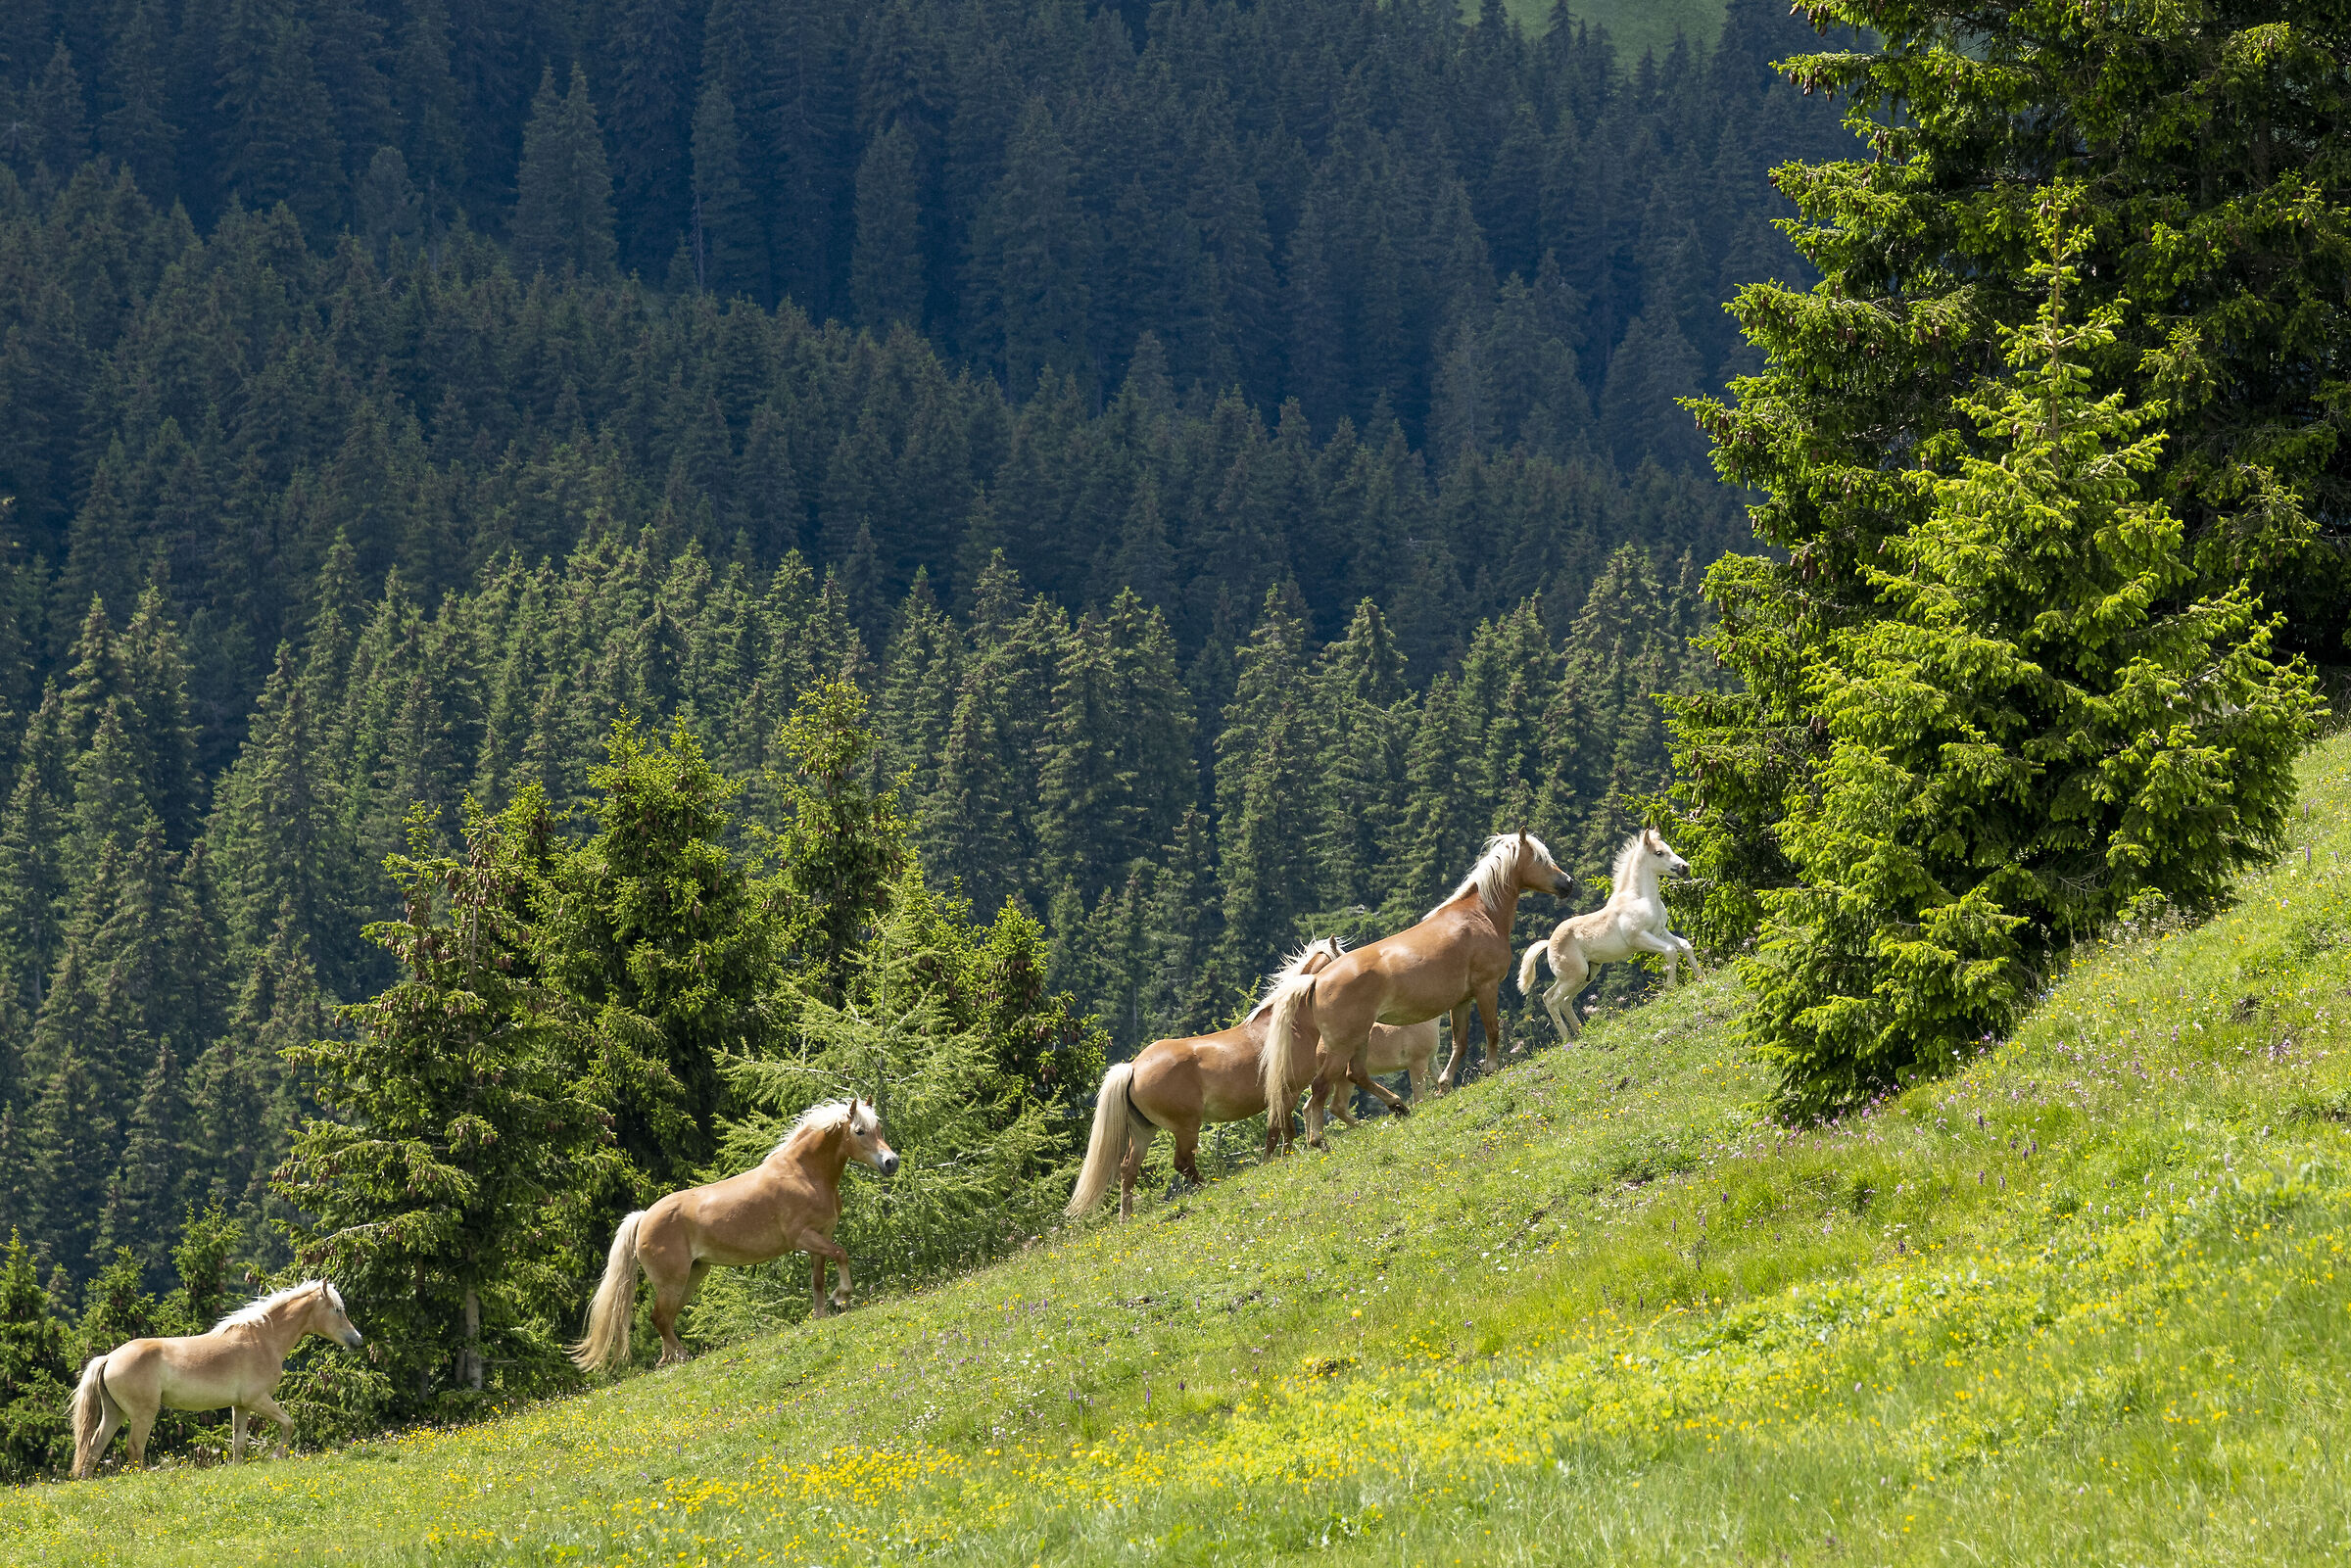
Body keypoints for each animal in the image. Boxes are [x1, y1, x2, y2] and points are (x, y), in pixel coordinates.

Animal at [70, 1280, 363, 1478]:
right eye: (337, 1310)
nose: (357, 1340)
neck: (263, 1339)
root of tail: (109, 1358)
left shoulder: (241, 1406)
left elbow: (239, 1442)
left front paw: (237, 1469)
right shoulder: (258, 1400)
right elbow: (289, 1424)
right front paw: (276, 1455)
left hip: (115, 1413)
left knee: (94, 1446)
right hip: (143, 1414)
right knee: (134, 1448)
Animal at [572, 1098, 899, 1372]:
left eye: (879, 1127)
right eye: (859, 1131)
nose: (891, 1162)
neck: (803, 1174)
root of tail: (642, 1218)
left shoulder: (821, 1236)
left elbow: (818, 1279)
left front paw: (821, 1313)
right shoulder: (804, 1238)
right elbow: (841, 1254)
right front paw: (842, 1295)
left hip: (692, 1276)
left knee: (664, 1319)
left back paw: (669, 1359)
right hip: (673, 1281)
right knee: (660, 1318)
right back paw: (682, 1357)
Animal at [1065, 939, 1439, 1220]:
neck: (1292, 1023)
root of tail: (1133, 1067)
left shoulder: (1281, 1095)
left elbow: (1276, 1132)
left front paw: (1272, 1161)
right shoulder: (1288, 1090)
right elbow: (1285, 1129)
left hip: (1144, 1131)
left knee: (1128, 1169)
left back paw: (1126, 1217)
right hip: (1186, 1127)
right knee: (1182, 1163)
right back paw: (1209, 1187)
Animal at [1262, 831, 1571, 1146]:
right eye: (1540, 858)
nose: (1568, 883)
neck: (1479, 915)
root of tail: (1317, 980)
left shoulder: (1461, 1001)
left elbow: (1459, 1044)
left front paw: (1444, 1084)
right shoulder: (1485, 988)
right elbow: (1492, 1030)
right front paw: (1490, 1068)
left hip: (1358, 1039)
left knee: (1355, 1075)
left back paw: (1398, 1105)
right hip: (1343, 1044)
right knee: (1320, 1088)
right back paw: (1318, 1139)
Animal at [1519, 827, 1697, 1041]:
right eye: (1659, 853)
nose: (1685, 867)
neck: (1640, 898)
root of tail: (1549, 943)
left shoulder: (1660, 931)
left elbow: (1685, 945)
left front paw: (1701, 977)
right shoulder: (1640, 938)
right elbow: (1671, 951)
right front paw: (1670, 987)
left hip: (1585, 974)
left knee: (1562, 1000)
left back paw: (1581, 1033)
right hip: (1574, 975)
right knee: (1552, 999)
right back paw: (1568, 1039)